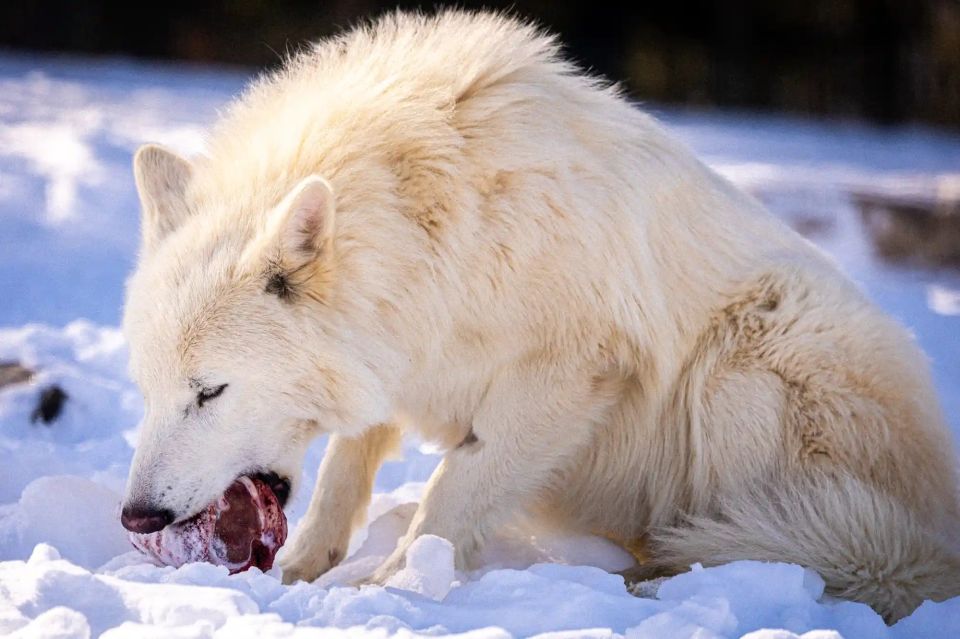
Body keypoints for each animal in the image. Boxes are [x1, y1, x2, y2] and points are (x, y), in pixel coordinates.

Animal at [119, 10, 960, 622]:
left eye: (211, 391)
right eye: (150, 391)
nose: (137, 516)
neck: (435, 226)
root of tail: (938, 530)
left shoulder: (567, 375)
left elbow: (450, 493)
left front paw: (393, 591)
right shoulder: (397, 359)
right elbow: (341, 473)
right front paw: (305, 572)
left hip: (746, 356)